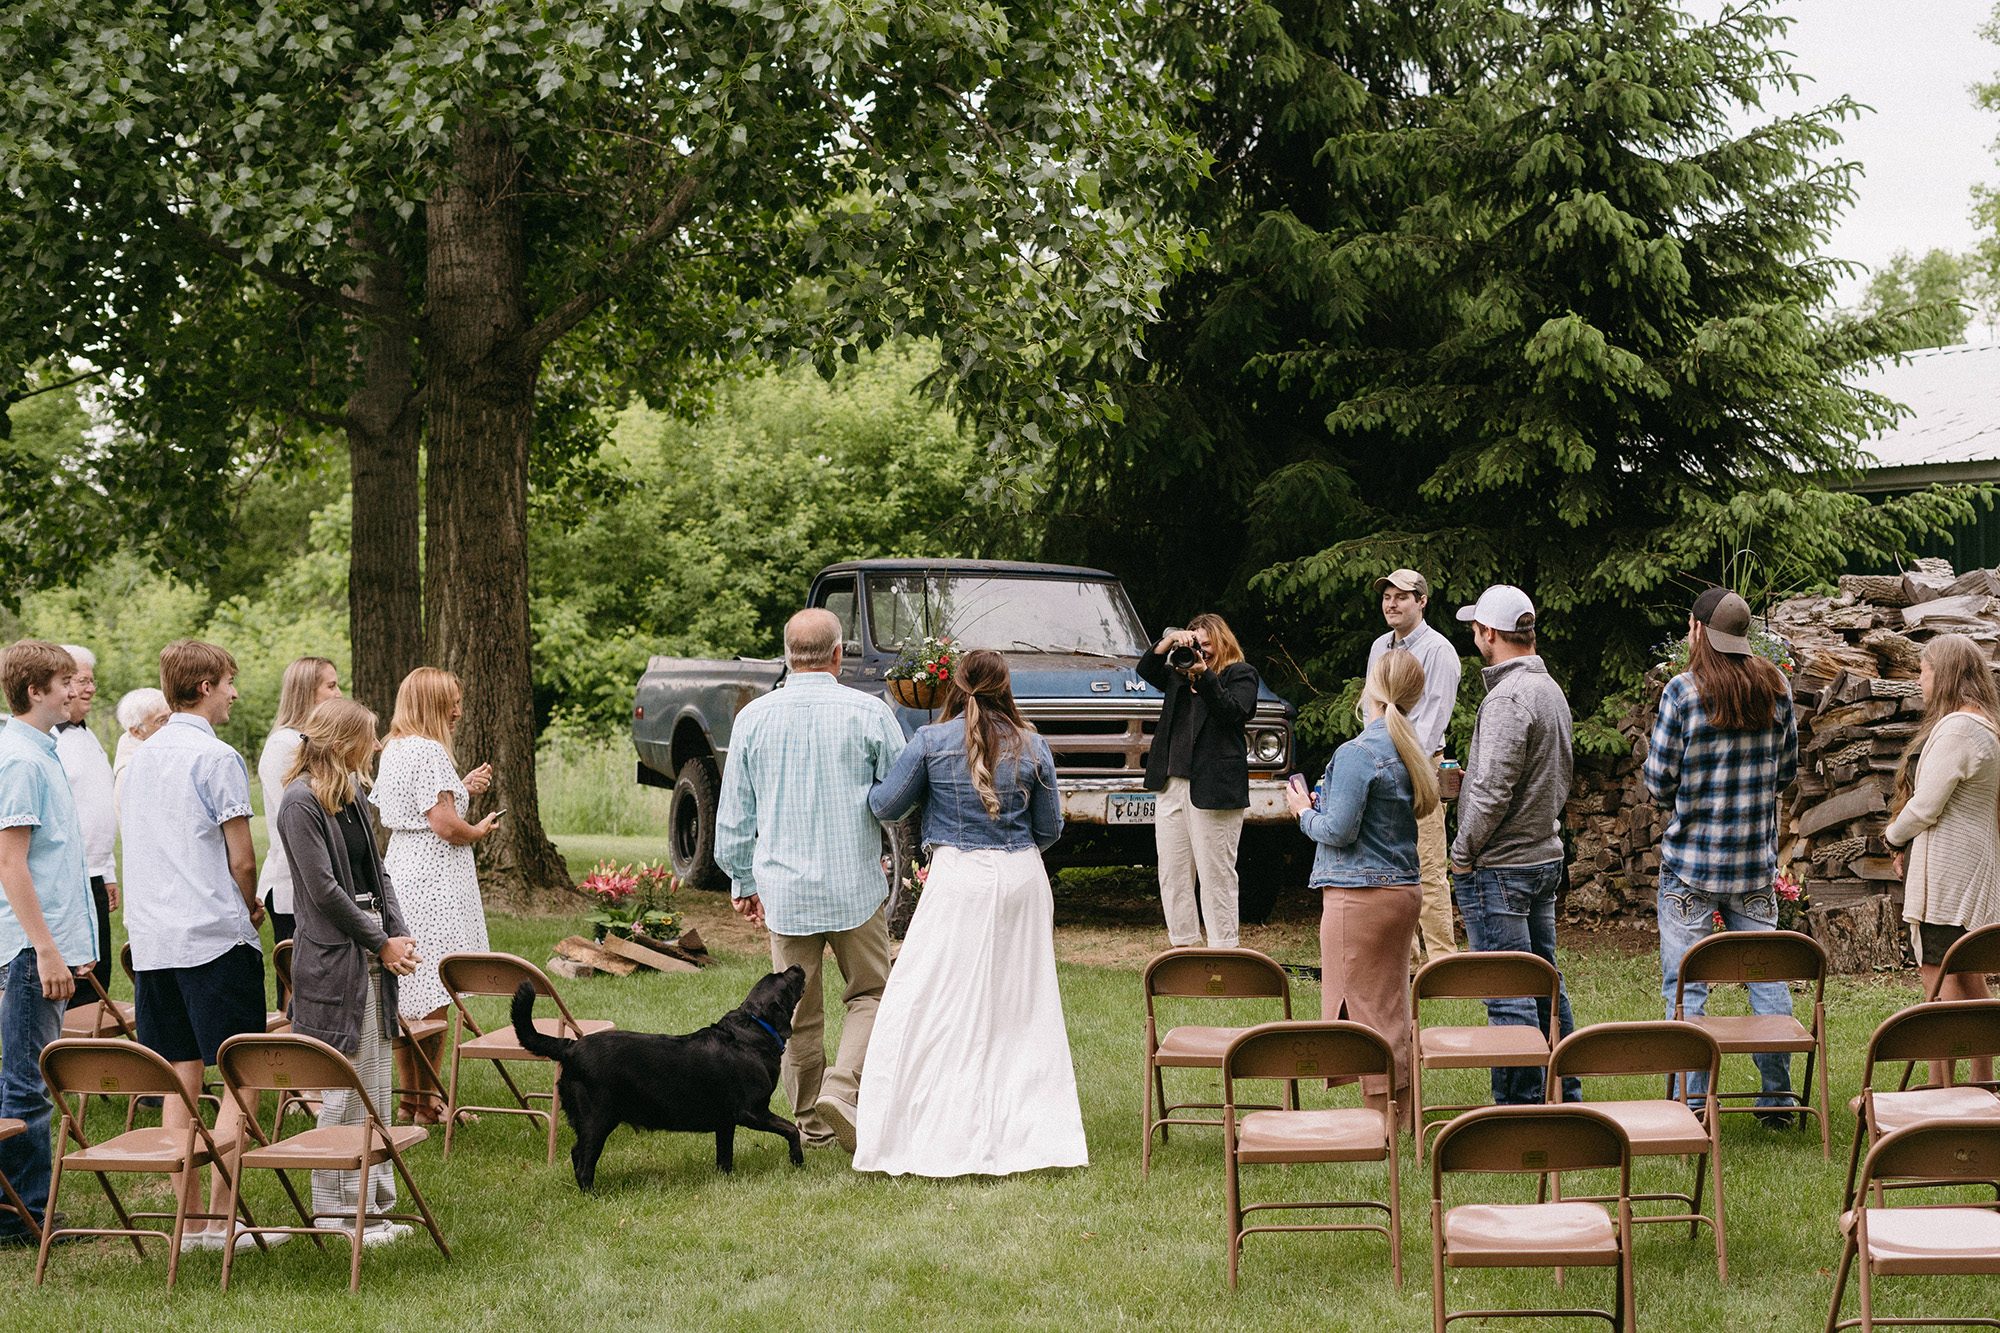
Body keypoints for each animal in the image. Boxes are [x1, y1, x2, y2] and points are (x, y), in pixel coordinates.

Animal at [516, 964, 812, 1184]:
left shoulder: (726, 1121)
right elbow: (791, 1129)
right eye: (786, 980)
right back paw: (592, 1195)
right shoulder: (752, 1111)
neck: (755, 1027)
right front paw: (797, 1160)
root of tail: (570, 1046)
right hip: (596, 1119)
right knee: (583, 1160)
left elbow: (724, 1156)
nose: (797, 966)